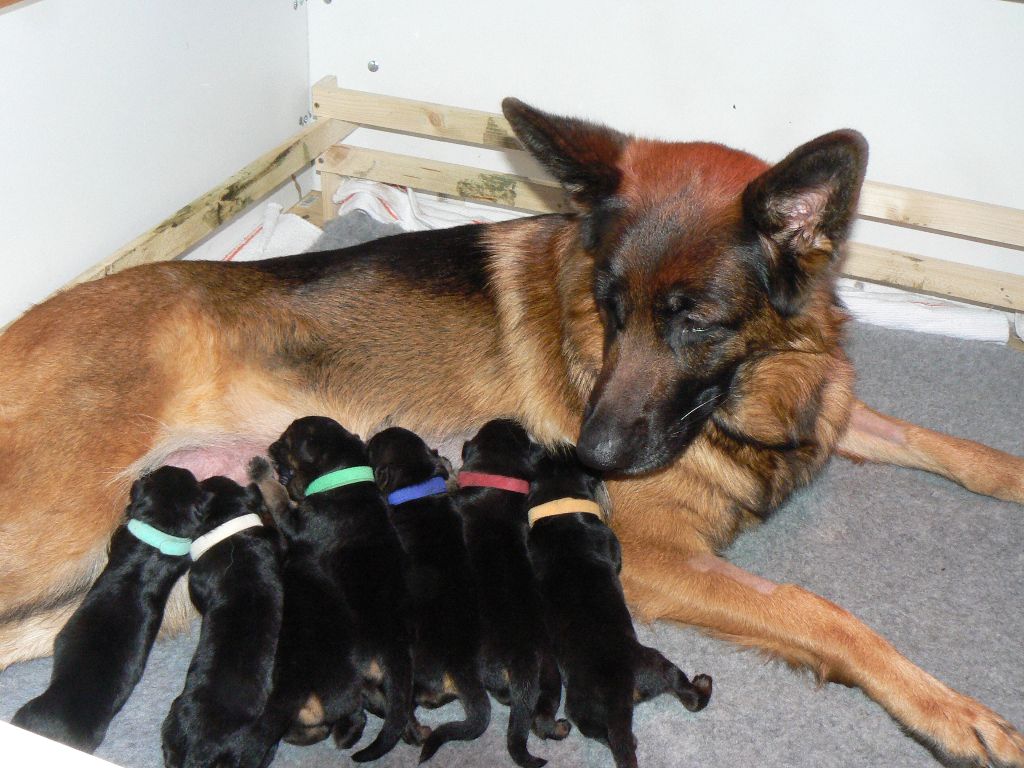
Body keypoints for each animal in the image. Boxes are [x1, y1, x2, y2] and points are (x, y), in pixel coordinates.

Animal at [272, 415, 419, 765]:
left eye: (286, 441)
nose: (270, 447)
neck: (344, 478)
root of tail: (394, 645)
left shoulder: (297, 522)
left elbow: (282, 501)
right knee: (401, 705)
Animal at [458, 421, 573, 768]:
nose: (513, 420)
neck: (497, 478)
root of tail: (523, 661)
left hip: (490, 667)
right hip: (550, 677)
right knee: (541, 715)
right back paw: (557, 728)